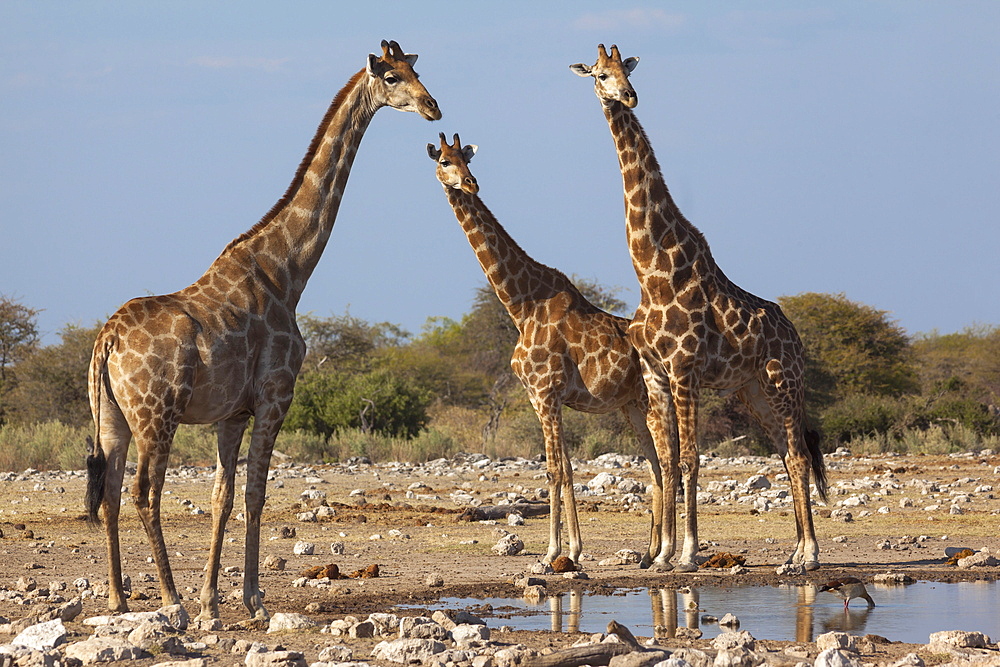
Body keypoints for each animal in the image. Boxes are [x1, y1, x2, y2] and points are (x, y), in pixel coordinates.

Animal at [84, 41, 444, 624]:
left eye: (417, 69)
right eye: (392, 77)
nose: (434, 106)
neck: (287, 270)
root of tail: (106, 341)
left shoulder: (232, 412)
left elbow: (222, 497)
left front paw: (213, 598)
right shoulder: (276, 396)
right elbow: (256, 493)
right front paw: (250, 599)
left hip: (113, 416)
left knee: (111, 491)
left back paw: (119, 597)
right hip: (157, 414)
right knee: (143, 493)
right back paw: (170, 601)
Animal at [424, 133, 672, 568]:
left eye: (465, 160)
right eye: (444, 161)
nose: (470, 184)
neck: (521, 305)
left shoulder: (546, 393)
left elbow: (557, 470)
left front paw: (558, 551)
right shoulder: (539, 397)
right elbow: (564, 468)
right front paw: (571, 548)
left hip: (653, 401)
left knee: (673, 462)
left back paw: (667, 554)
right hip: (632, 406)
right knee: (656, 467)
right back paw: (648, 553)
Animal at [572, 44, 828, 572]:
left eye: (626, 70)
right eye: (601, 74)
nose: (628, 95)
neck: (652, 272)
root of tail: (797, 338)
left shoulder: (684, 369)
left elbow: (691, 457)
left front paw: (688, 552)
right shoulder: (655, 373)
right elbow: (669, 460)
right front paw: (664, 555)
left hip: (784, 383)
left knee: (797, 455)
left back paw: (810, 555)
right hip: (754, 391)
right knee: (785, 454)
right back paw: (793, 552)